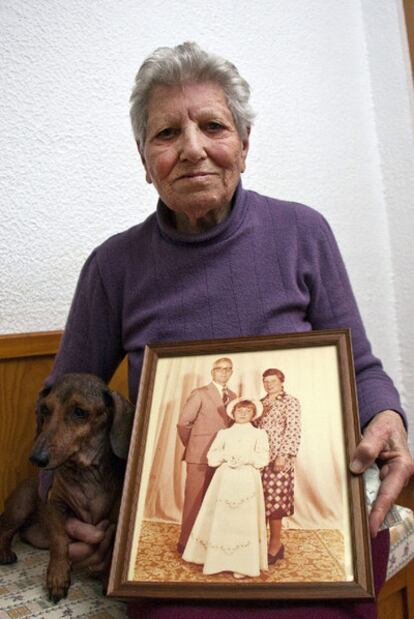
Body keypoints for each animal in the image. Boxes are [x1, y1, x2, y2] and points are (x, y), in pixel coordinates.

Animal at [0, 376, 134, 604]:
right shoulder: (53, 505)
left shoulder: (116, 519)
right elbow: (59, 539)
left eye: (79, 412)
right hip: (19, 508)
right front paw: (57, 575)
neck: (86, 474)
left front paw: (108, 579)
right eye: (45, 409)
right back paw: (5, 552)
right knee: (4, 530)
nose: (36, 458)